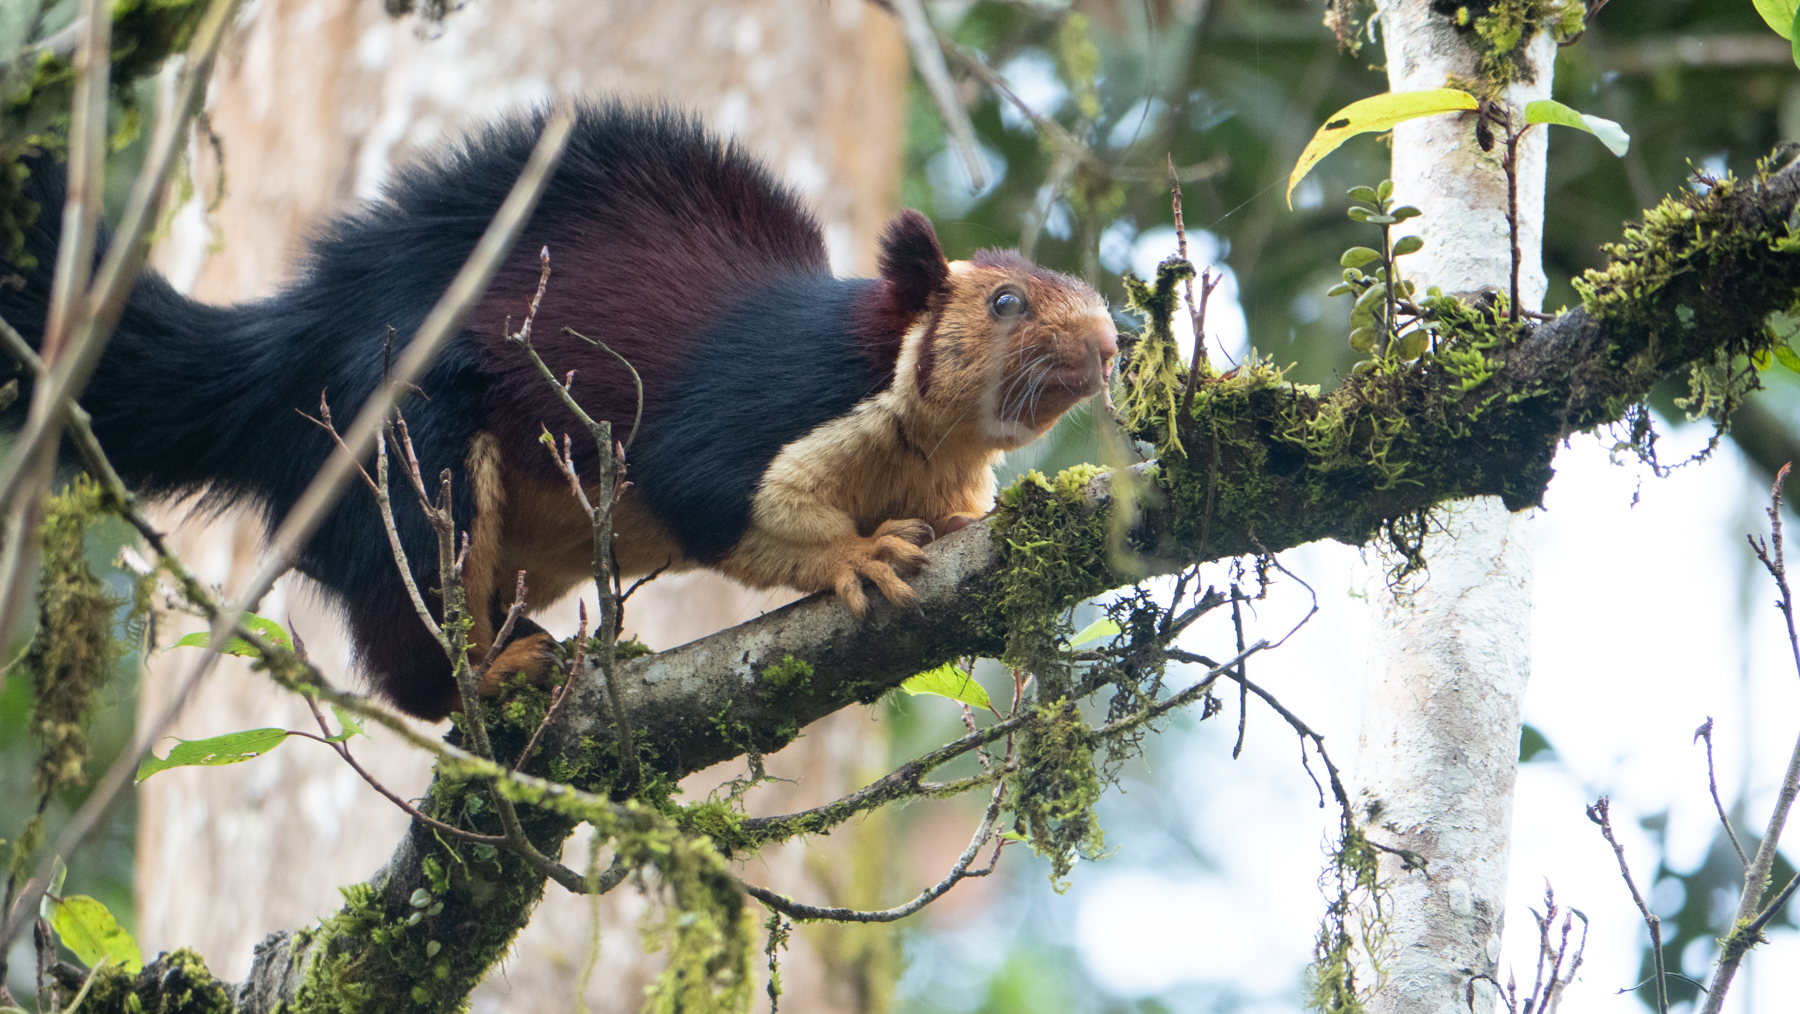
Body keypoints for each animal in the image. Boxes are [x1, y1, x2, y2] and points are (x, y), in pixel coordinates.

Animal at [0, 103, 1119, 721]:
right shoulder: (758, 408)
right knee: (413, 626)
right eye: (1005, 302)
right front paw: (855, 555)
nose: (1111, 344)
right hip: (406, 444)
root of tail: (284, 359)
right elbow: (720, 498)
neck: (916, 422)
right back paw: (488, 672)